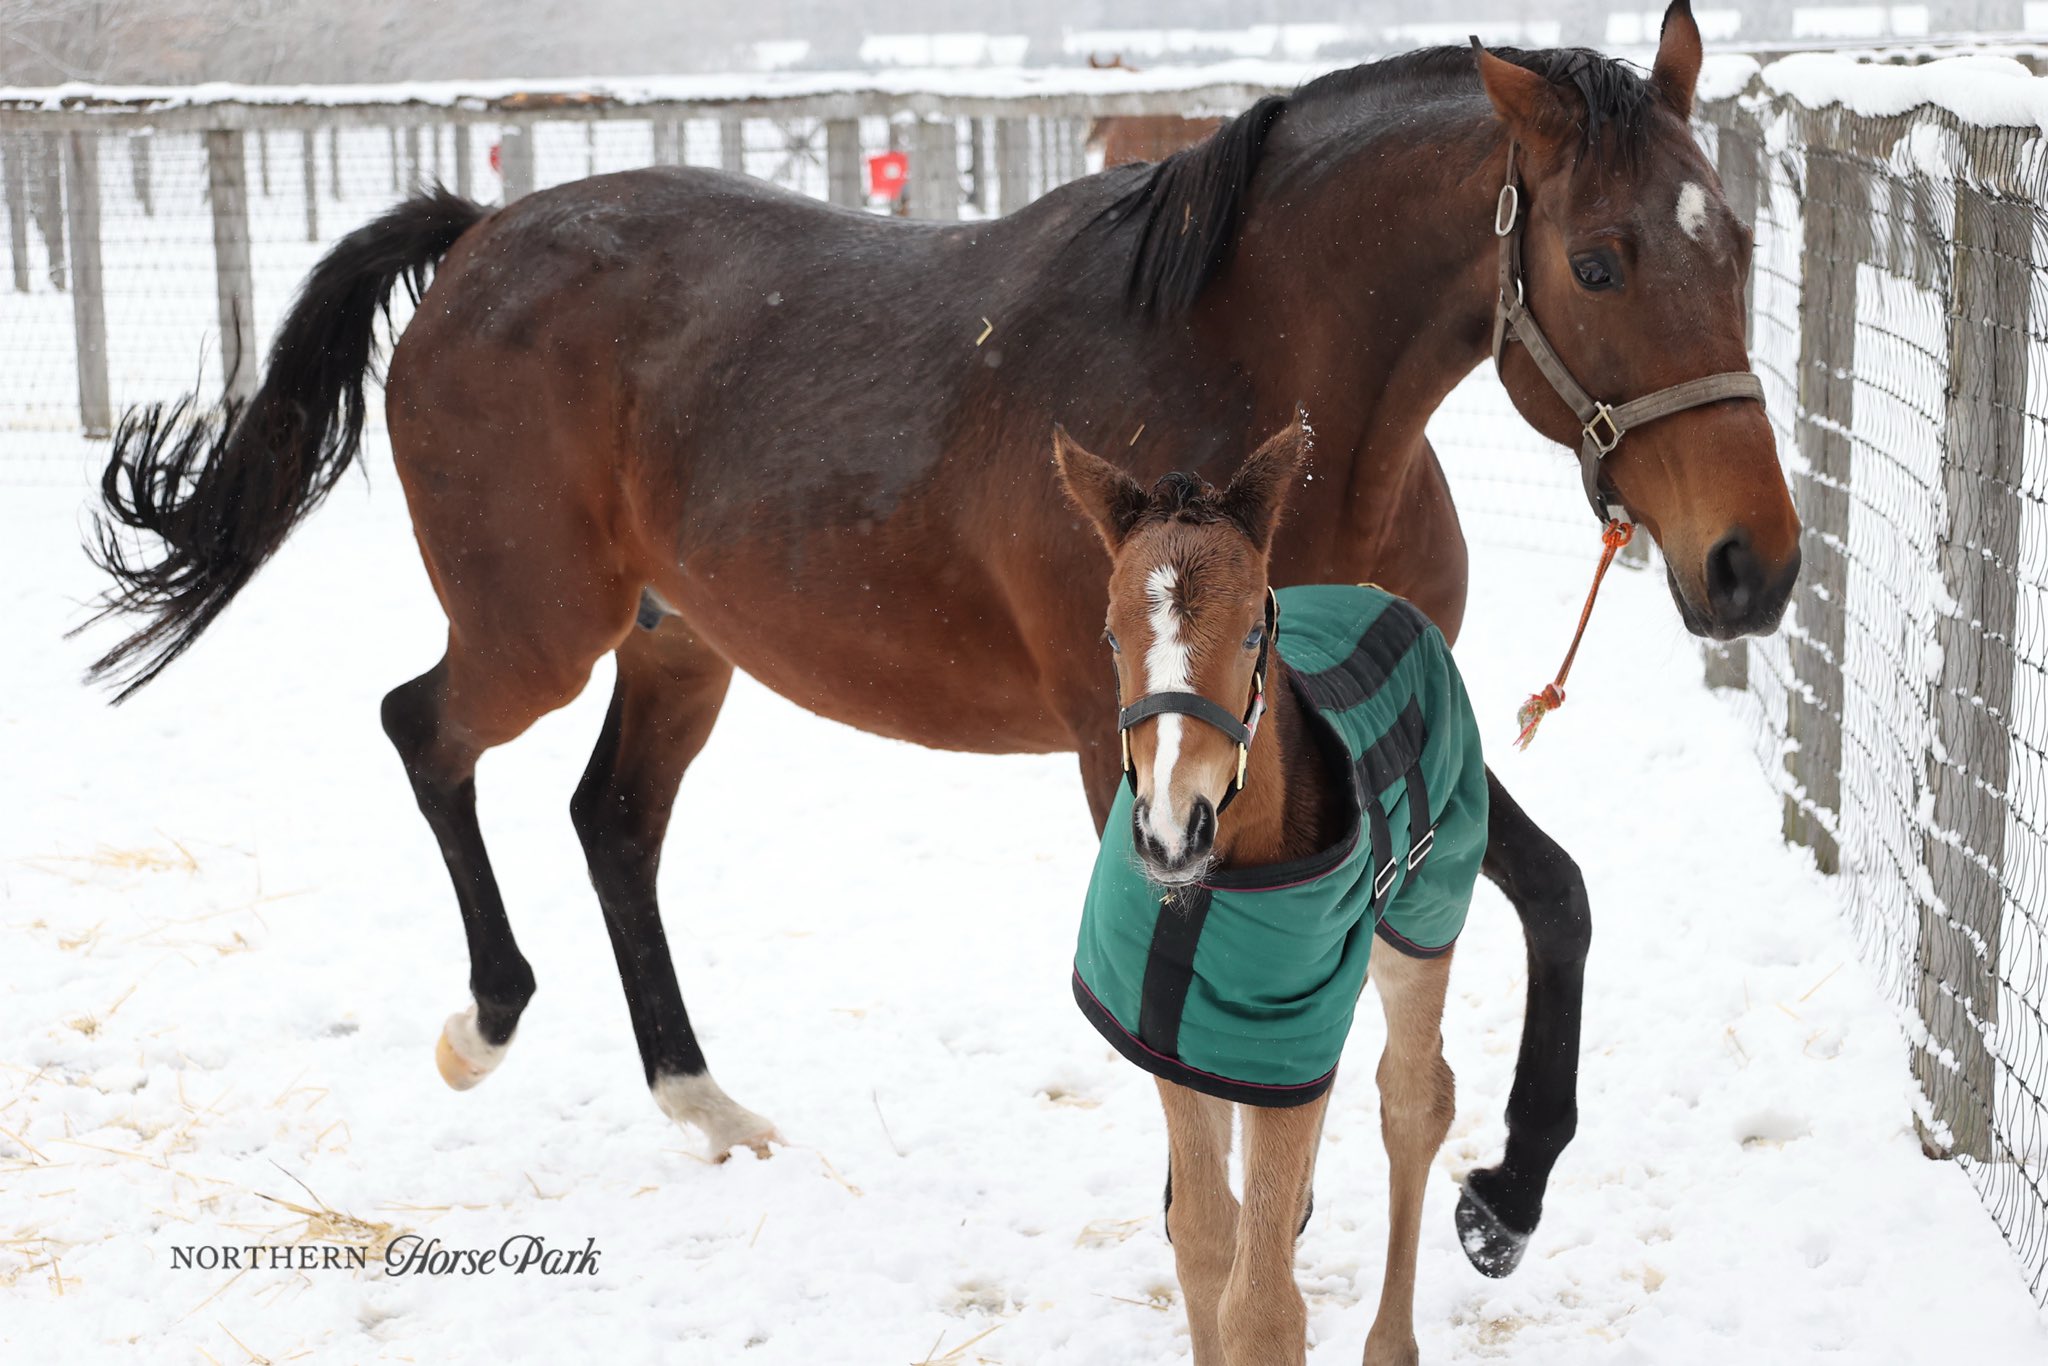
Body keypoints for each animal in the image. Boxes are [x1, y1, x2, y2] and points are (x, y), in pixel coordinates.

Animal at [1056, 415, 1483, 1365]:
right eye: (1109, 637)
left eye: (1255, 631)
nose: (1171, 830)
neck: (1206, 898)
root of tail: (1378, 593)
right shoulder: (1184, 1039)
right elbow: (1206, 1243)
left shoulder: (1286, 1032)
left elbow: (1262, 1306)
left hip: (1421, 922)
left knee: (1415, 1099)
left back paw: (1389, 1344)